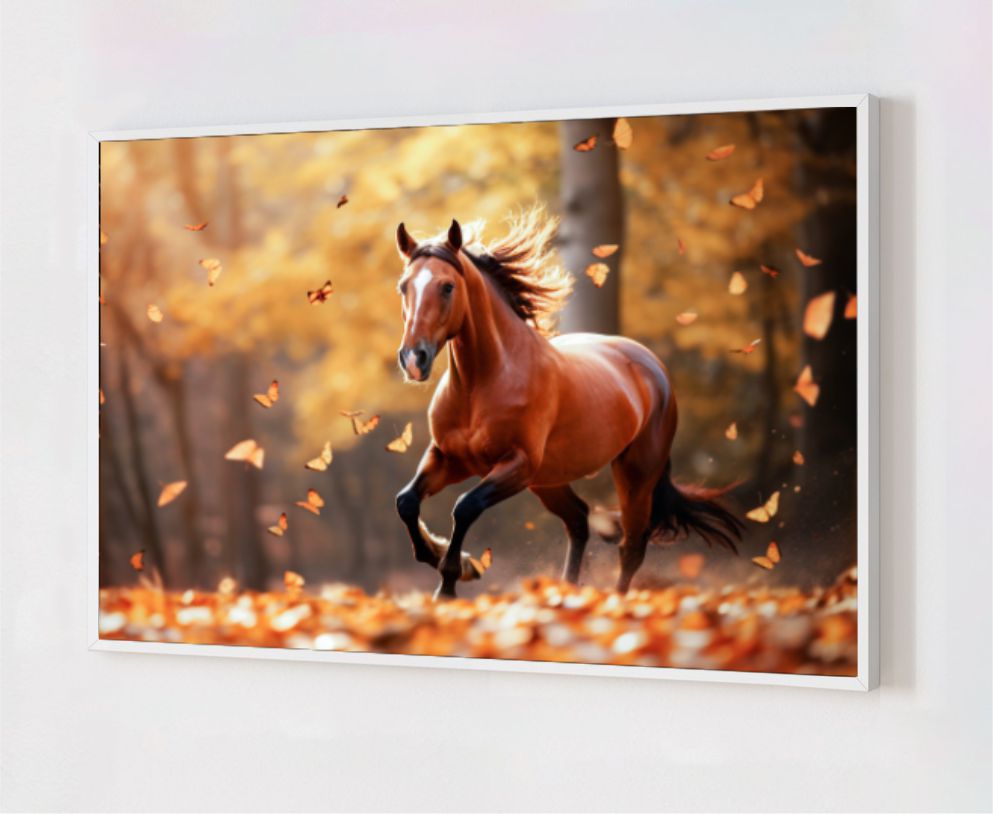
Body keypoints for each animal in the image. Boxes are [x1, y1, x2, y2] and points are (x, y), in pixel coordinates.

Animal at [393, 208, 743, 599]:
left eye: (447, 286)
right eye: (403, 286)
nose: (414, 359)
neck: (481, 385)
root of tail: (653, 366)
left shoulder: (517, 465)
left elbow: (465, 507)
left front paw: (451, 582)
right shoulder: (449, 458)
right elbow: (406, 501)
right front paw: (442, 558)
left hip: (635, 475)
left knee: (631, 546)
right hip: (549, 481)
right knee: (578, 520)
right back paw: (566, 590)